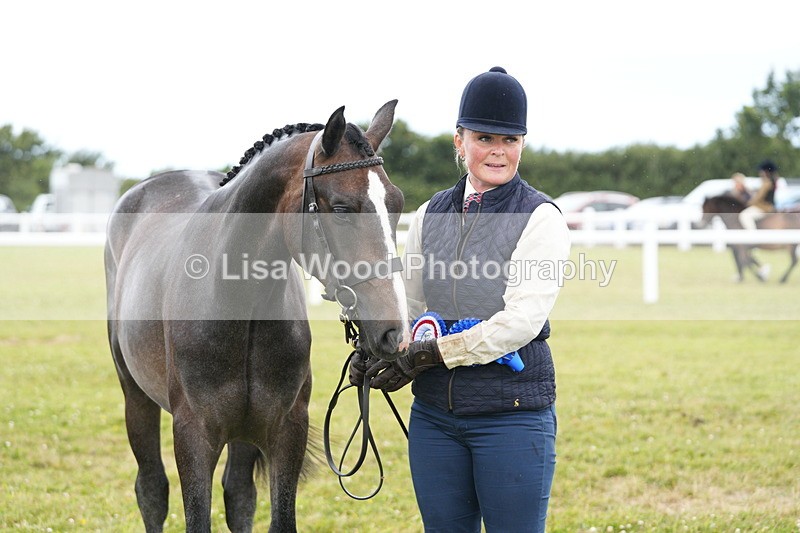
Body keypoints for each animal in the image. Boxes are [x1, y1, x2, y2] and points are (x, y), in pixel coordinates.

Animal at [104, 101, 410, 532]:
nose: (394, 331)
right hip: (135, 396)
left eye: (397, 205)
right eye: (341, 209)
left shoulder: (285, 430)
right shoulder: (193, 435)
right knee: (151, 490)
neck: (237, 303)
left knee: (238, 495)